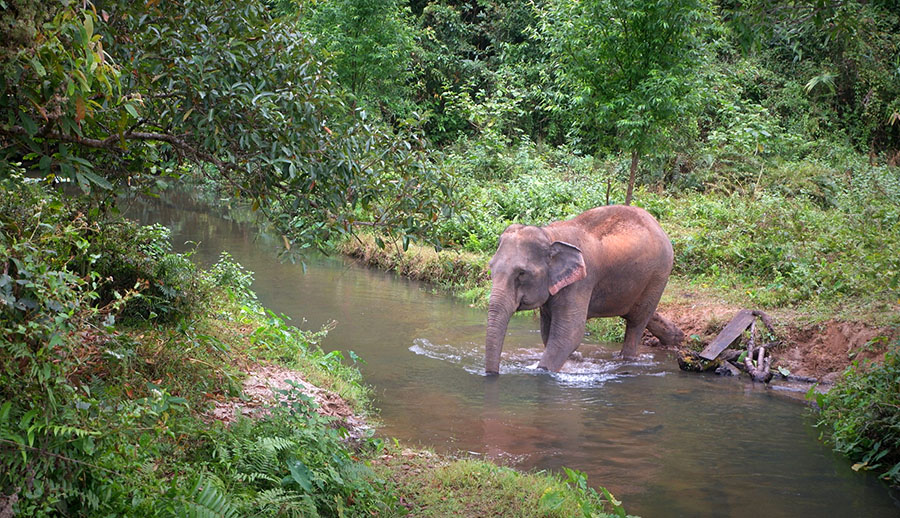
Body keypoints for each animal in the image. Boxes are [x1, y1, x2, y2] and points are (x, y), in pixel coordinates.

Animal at [486, 205, 684, 376]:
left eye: (522, 273)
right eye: (491, 267)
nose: (492, 375)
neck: (550, 235)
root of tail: (656, 223)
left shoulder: (580, 282)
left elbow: (570, 333)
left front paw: (544, 370)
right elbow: (547, 331)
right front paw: (573, 360)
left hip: (658, 274)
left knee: (636, 322)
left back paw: (628, 359)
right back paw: (677, 337)